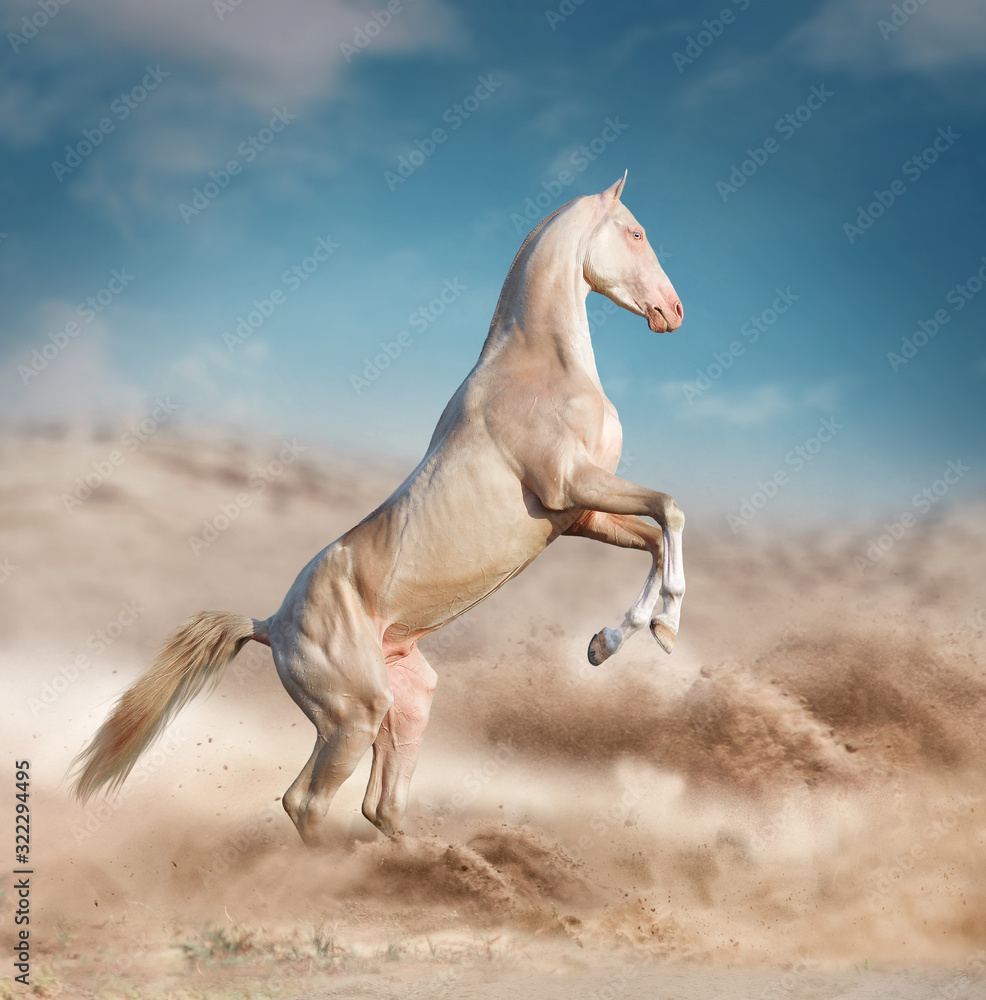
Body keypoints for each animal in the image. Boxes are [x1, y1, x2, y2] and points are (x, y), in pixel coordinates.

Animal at [71, 172, 686, 844]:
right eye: (636, 232)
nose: (674, 311)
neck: (539, 370)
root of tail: (271, 626)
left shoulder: (579, 517)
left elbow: (655, 533)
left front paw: (613, 641)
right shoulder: (571, 485)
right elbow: (671, 511)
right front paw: (660, 627)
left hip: (406, 705)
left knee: (379, 805)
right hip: (354, 715)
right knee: (307, 802)